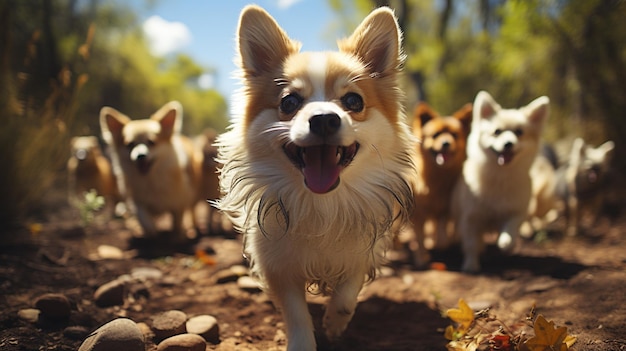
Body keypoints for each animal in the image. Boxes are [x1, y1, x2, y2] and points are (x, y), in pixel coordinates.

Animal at [100, 100, 201, 241]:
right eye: (129, 144)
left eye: (152, 142)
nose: (140, 156)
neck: (150, 179)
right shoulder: (138, 201)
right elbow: (144, 218)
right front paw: (151, 233)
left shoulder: (178, 201)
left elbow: (177, 221)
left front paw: (176, 237)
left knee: (192, 211)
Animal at [214, 4, 414, 350]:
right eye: (289, 102)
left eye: (353, 101)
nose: (323, 119)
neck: (322, 204)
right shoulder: (277, 264)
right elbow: (295, 313)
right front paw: (303, 341)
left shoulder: (364, 250)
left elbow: (348, 289)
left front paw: (334, 323)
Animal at [404, 102, 468, 266]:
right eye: (435, 135)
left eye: (454, 135)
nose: (446, 143)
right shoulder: (418, 214)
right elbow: (419, 238)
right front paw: (420, 259)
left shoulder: (443, 209)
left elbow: (442, 234)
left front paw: (440, 244)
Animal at [450, 92, 548, 274]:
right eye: (497, 132)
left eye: (519, 132)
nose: (508, 143)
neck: (500, 177)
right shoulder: (471, 218)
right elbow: (471, 244)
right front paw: (471, 266)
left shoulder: (516, 212)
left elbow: (510, 230)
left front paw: (505, 244)